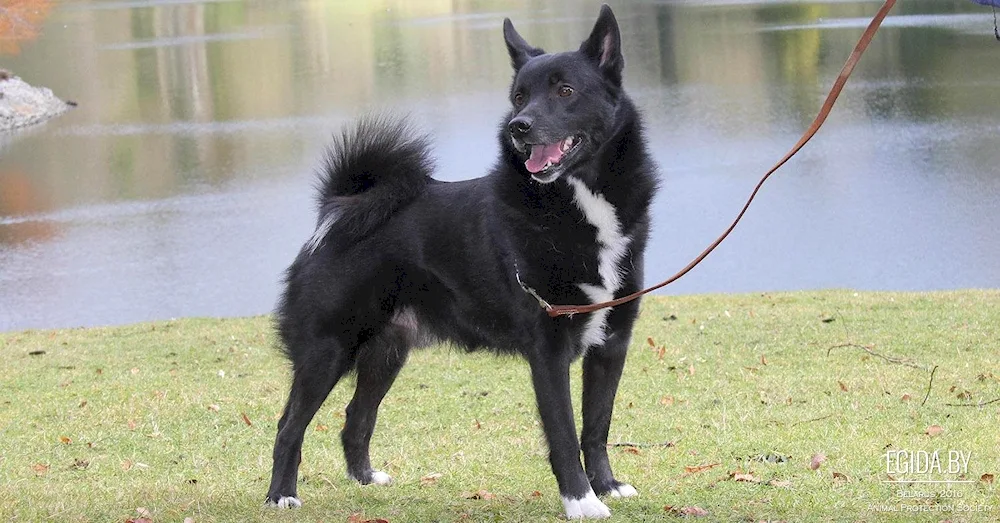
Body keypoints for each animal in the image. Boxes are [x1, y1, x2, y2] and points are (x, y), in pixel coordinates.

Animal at [266, 5, 656, 520]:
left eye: (565, 91)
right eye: (519, 97)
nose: (518, 126)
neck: (578, 199)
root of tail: (339, 208)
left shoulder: (610, 344)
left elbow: (596, 427)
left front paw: (607, 486)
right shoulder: (549, 351)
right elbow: (564, 434)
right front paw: (581, 501)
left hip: (387, 351)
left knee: (355, 416)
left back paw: (366, 479)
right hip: (327, 347)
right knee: (289, 425)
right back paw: (281, 495)